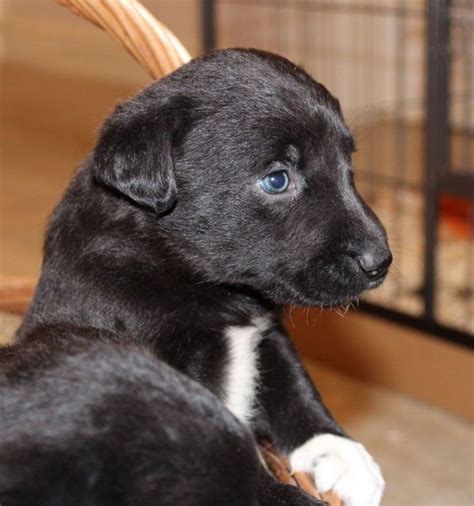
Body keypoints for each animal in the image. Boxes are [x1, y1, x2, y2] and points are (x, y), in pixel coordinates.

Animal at [1, 48, 390, 506]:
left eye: (349, 165)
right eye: (277, 179)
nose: (381, 261)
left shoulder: (265, 330)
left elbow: (294, 382)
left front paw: (340, 452)